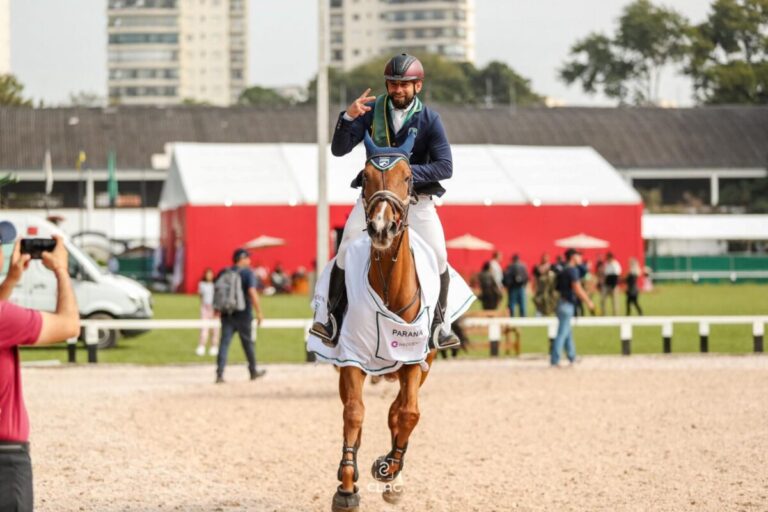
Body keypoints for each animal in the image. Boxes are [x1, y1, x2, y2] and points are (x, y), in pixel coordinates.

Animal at [331, 131, 437, 512]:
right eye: (365, 178)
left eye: (408, 177)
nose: (381, 228)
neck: (390, 286)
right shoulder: (351, 358)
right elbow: (354, 413)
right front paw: (347, 484)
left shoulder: (414, 361)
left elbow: (407, 414)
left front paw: (390, 469)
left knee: (398, 411)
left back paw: (393, 472)